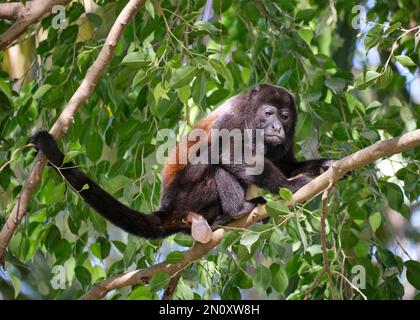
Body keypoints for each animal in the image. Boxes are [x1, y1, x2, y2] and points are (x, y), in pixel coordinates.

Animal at [32, 85, 334, 240]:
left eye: (285, 116)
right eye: (269, 113)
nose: (277, 127)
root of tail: (167, 208)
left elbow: (286, 165)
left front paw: (327, 165)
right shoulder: (235, 116)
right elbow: (230, 153)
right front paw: (291, 187)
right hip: (188, 195)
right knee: (216, 160)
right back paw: (237, 210)